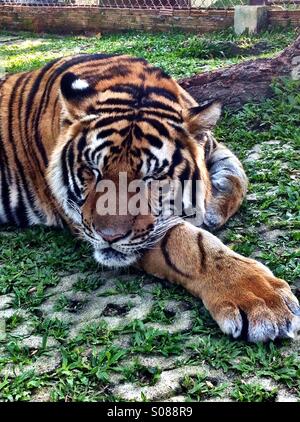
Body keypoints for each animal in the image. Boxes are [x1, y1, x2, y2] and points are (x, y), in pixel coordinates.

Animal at [0, 53, 298, 342]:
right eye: (94, 170)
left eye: (151, 177)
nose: (108, 237)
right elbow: (189, 245)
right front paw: (261, 298)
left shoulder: (214, 146)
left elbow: (237, 177)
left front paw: (210, 208)